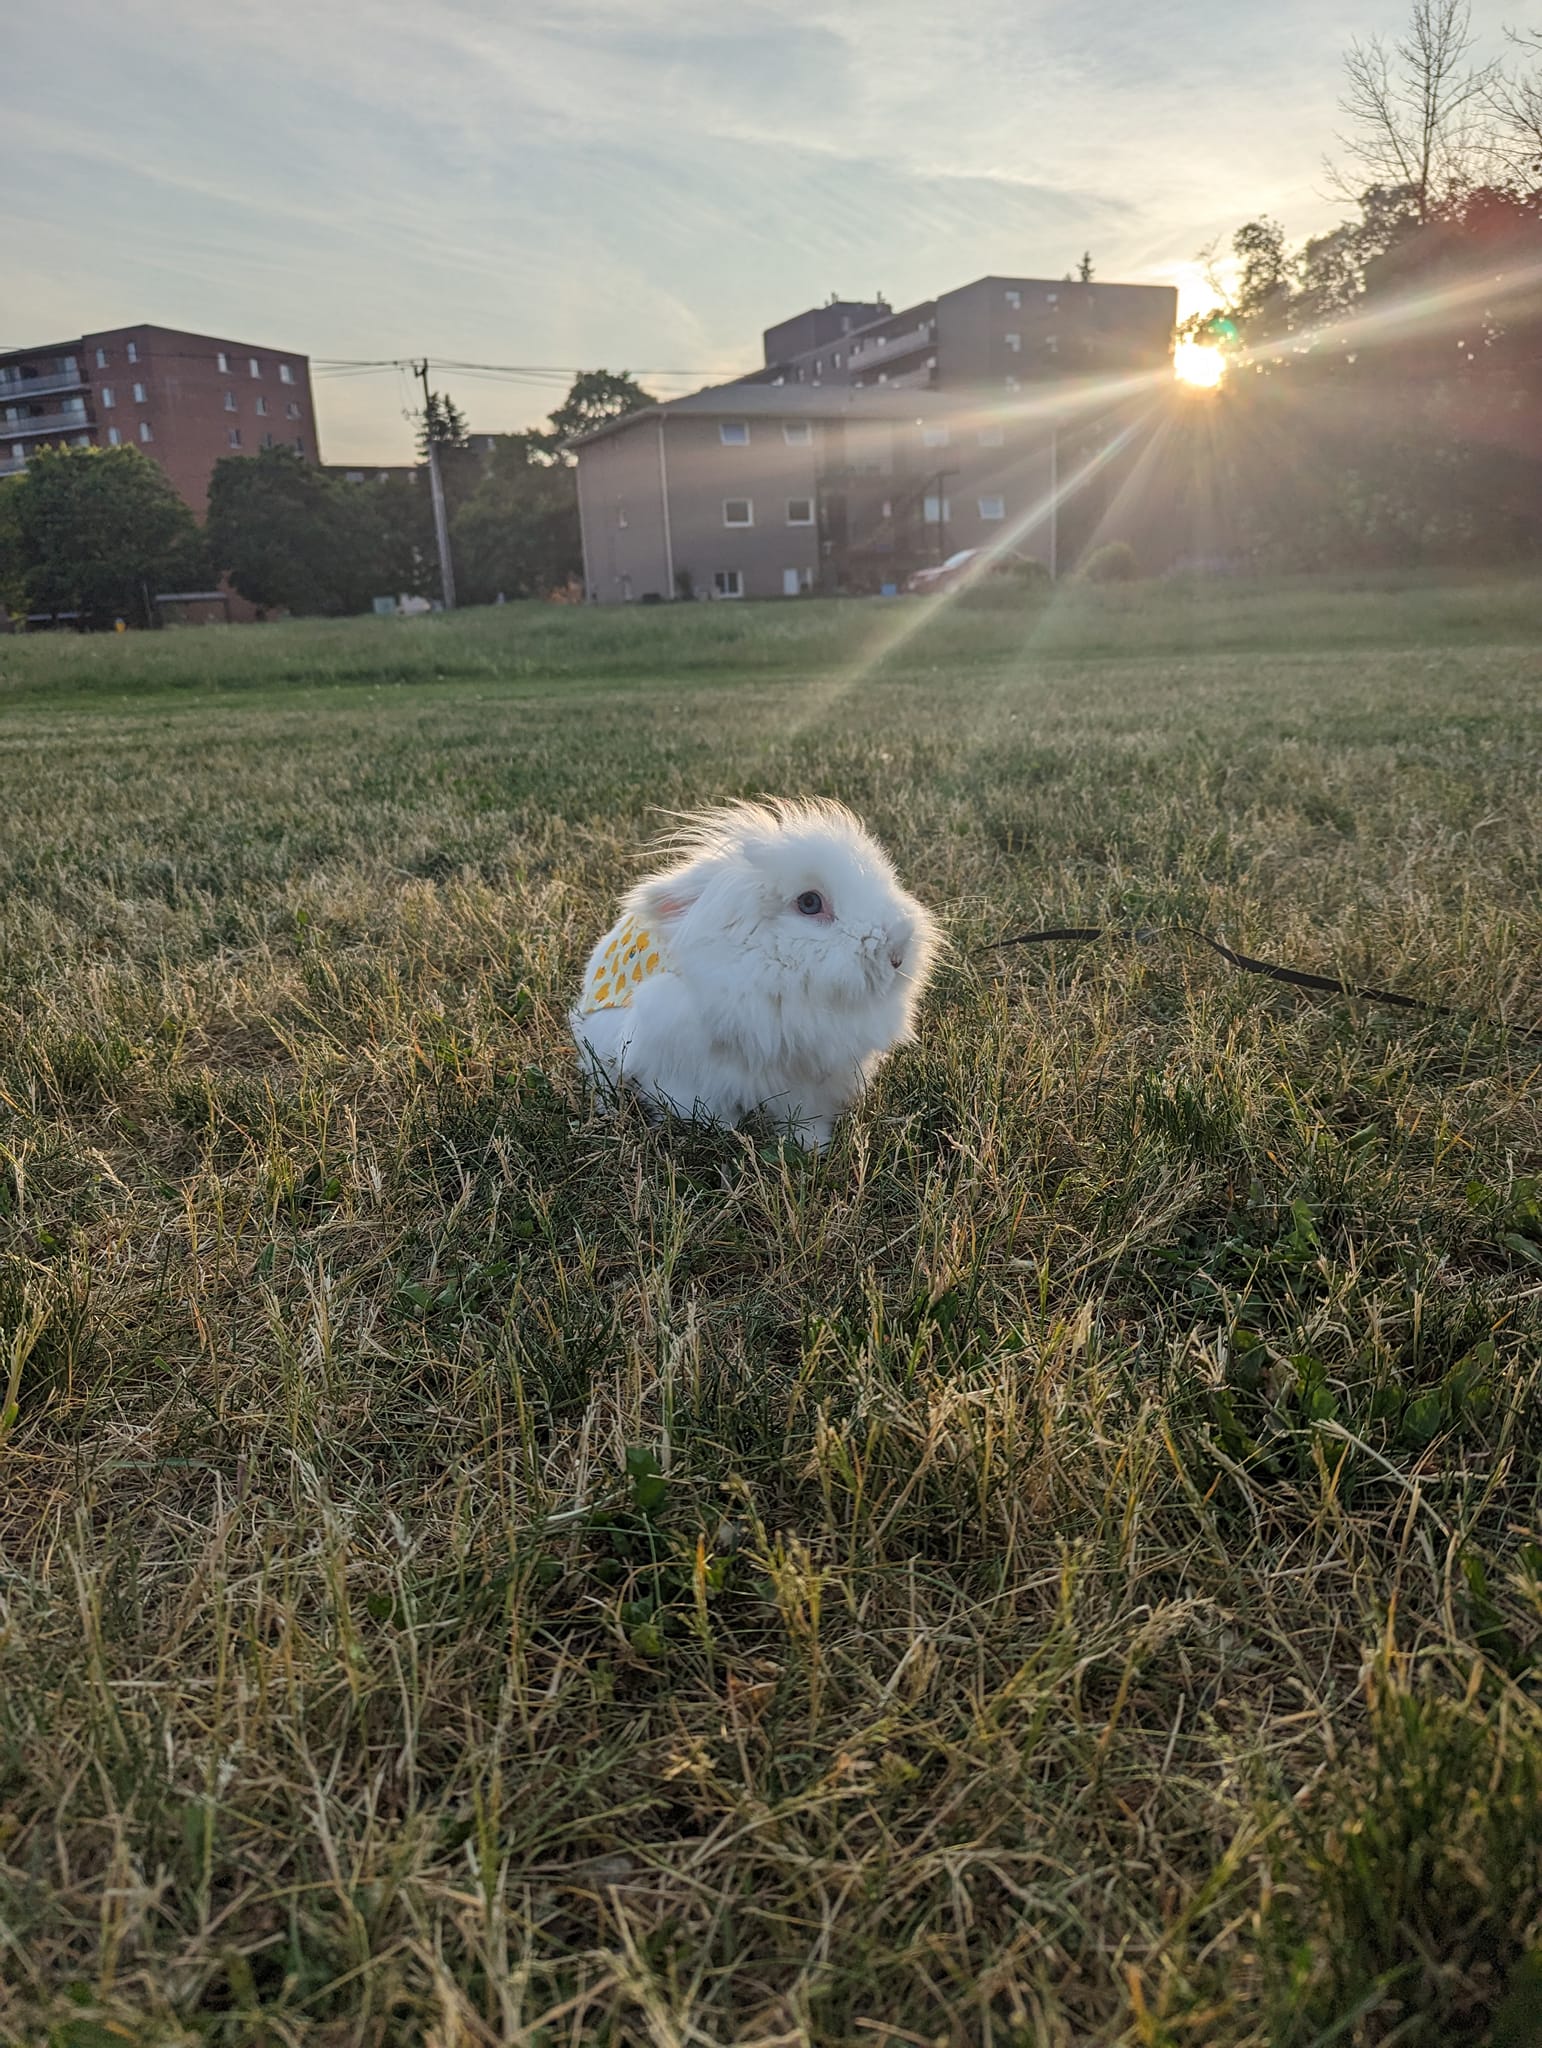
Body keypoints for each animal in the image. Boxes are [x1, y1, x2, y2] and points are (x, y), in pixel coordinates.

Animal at [570, 798, 940, 1149]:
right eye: (809, 903)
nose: (897, 954)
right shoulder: (684, 1068)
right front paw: (716, 1131)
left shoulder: (809, 1083)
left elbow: (804, 1117)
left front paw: (812, 1147)